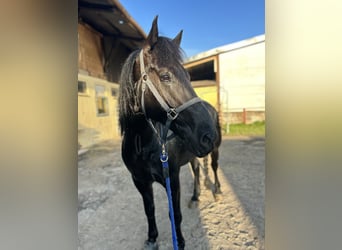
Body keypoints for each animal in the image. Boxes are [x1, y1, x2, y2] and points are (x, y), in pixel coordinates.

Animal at [119, 16, 218, 249]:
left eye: (189, 76)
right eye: (165, 76)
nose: (208, 135)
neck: (142, 143)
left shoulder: (171, 177)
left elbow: (176, 215)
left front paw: (179, 242)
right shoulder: (140, 180)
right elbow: (149, 210)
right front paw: (151, 238)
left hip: (215, 151)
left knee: (214, 167)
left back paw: (217, 190)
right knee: (198, 170)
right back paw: (195, 197)